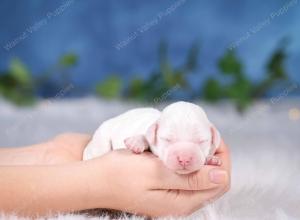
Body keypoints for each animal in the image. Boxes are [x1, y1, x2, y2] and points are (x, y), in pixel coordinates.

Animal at [83, 101, 221, 174]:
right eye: (167, 139)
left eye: (201, 141)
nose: (184, 159)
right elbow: (145, 136)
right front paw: (136, 142)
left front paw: (211, 159)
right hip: (101, 140)